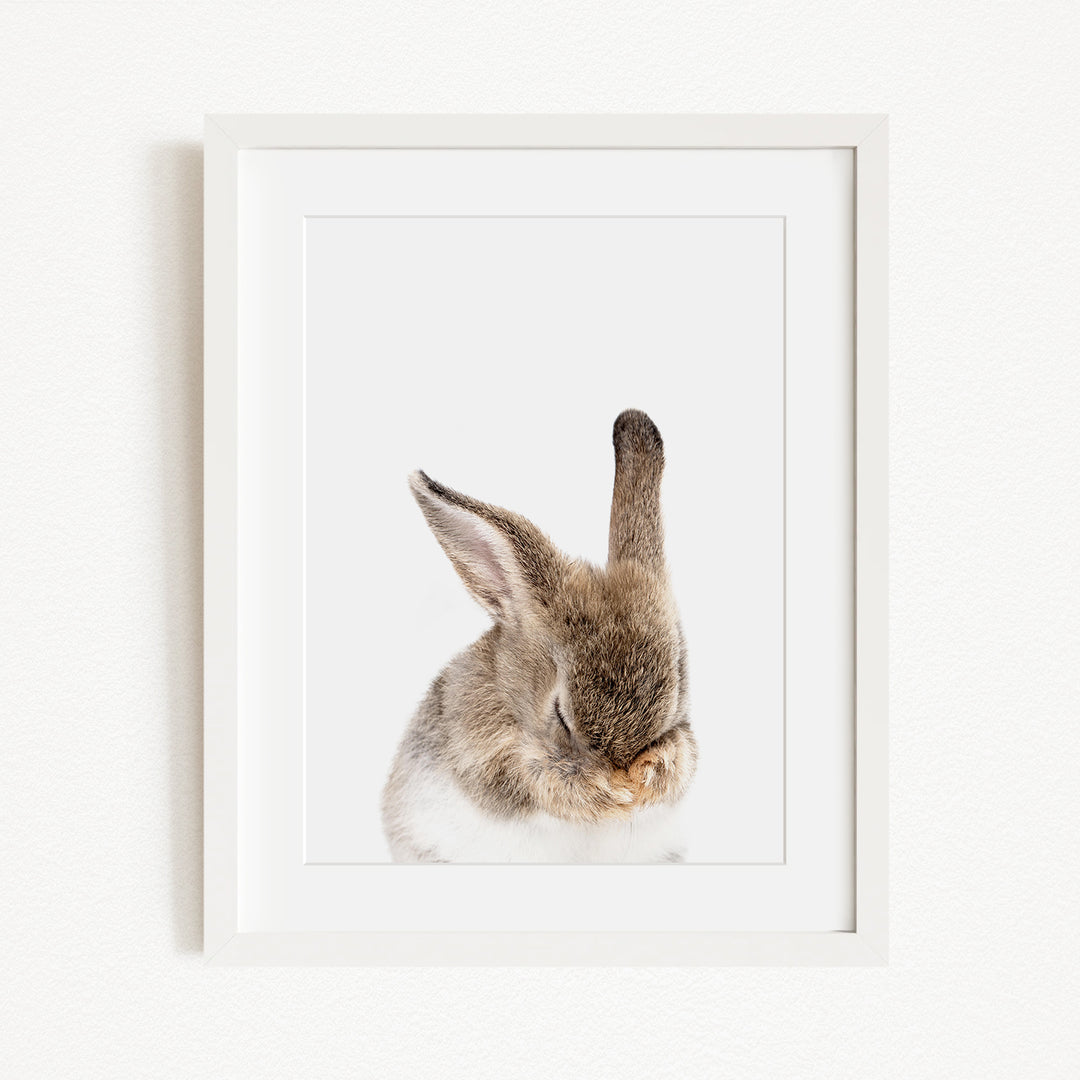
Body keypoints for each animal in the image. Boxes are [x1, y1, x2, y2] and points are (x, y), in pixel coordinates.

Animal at [381, 409, 697, 863]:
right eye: (560, 714)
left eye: (677, 688)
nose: (624, 773)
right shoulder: (493, 762)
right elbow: (541, 783)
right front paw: (610, 793)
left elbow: (682, 757)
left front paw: (648, 778)